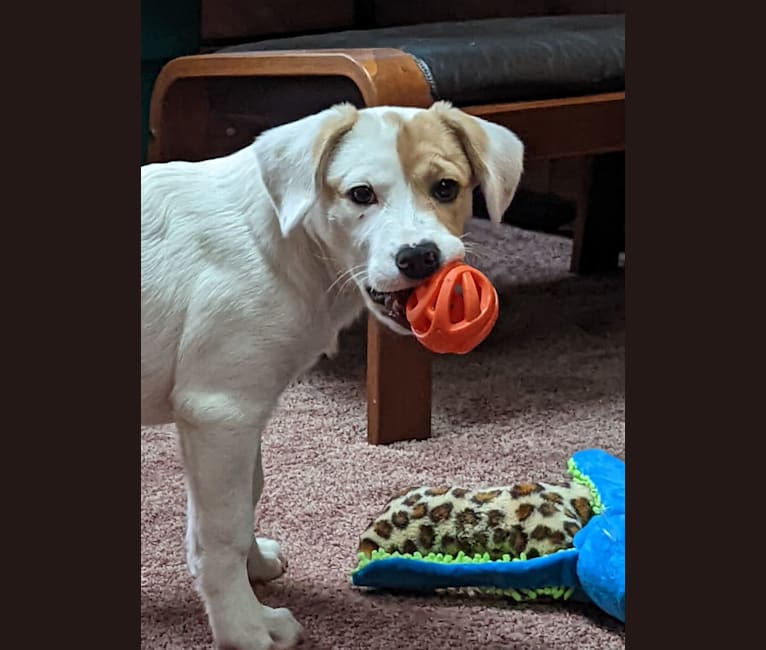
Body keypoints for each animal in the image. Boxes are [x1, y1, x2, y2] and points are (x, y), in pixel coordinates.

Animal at [141, 101, 524, 648]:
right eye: (361, 194)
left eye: (446, 188)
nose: (419, 257)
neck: (279, 241)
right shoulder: (220, 411)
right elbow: (221, 533)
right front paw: (245, 626)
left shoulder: (239, 415)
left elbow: (247, 496)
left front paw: (256, 566)